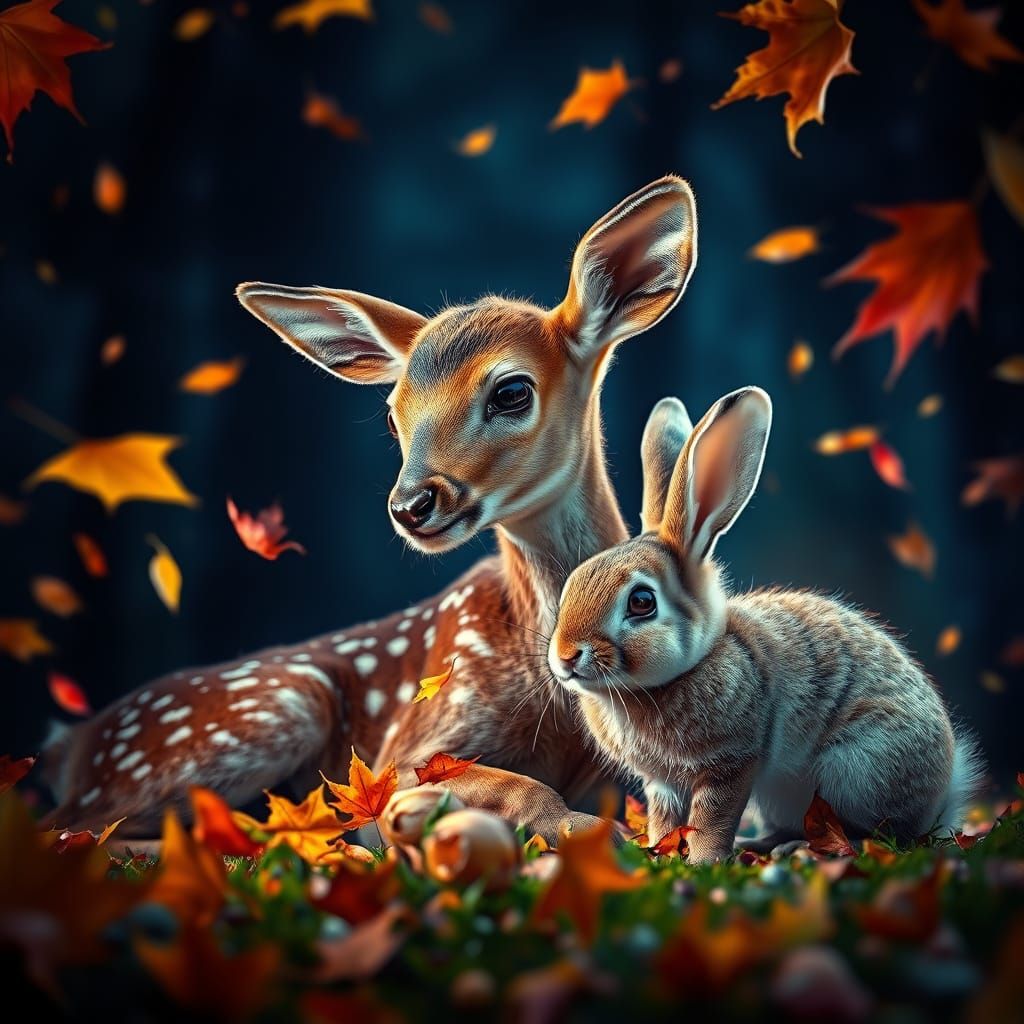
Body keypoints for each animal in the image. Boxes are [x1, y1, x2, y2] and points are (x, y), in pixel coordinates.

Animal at [40, 176, 698, 845]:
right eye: (391, 412)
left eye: (512, 391)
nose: (411, 505)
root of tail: (75, 743)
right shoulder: (409, 745)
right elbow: (509, 788)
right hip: (263, 712)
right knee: (72, 829)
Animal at [547, 387, 985, 863]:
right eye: (572, 584)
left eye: (642, 602)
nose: (566, 656)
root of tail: (940, 798)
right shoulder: (662, 784)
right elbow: (665, 818)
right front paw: (661, 853)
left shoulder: (732, 763)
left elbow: (711, 818)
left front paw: (703, 860)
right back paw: (761, 844)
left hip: (855, 769)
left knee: (884, 834)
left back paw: (805, 848)